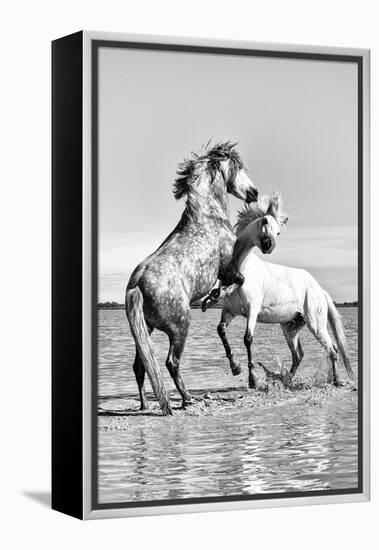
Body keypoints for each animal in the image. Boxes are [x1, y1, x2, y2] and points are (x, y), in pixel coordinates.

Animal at [126, 142, 260, 414]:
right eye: (238, 167)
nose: (254, 192)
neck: (208, 216)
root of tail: (137, 286)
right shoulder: (228, 268)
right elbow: (236, 281)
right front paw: (213, 297)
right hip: (180, 327)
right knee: (171, 362)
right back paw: (187, 398)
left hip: (146, 329)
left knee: (141, 366)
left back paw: (145, 404)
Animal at [211, 194, 356, 392]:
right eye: (264, 220)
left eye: (279, 232)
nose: (268, 245)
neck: (241, 271)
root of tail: (320, 290)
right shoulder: (229, 311)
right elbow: (221, 330)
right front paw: (235, 368)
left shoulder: (252, 310)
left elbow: (248, 338)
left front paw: (252, 380)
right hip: (290, 326)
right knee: (298, 355)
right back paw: (286, 380)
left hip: (315, 324)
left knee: (332, 348)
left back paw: (335, 381)